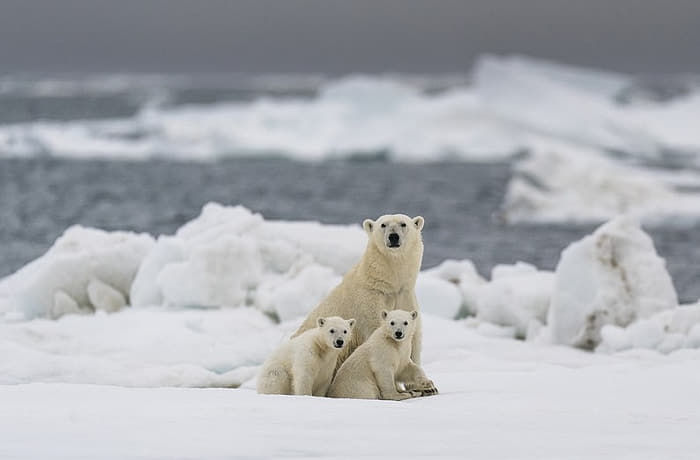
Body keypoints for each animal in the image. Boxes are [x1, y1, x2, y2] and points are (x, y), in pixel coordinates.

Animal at [292, 214, 424, 368]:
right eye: (383, 225)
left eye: (403, 224)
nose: (393, 237)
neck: (388, 284)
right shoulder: (369, 302)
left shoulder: (405, 295)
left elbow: (413, 337)